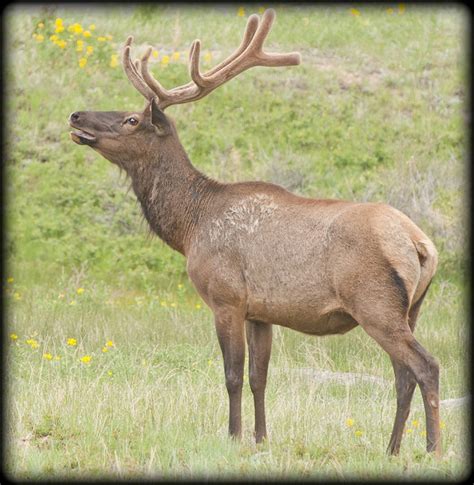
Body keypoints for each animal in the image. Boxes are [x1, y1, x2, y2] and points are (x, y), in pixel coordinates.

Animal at [67, 10, 440, 458]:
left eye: (131, 119)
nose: (75, 116)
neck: (190, 227)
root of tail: (422, 245)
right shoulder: (261, 311)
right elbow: (259, 377)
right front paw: (262, 439)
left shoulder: (226, 297)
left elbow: (231, 374)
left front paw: (232, 437)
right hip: (410, 309)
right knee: (403, 375)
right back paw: (392, 449)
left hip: (375, 303)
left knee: (426, 366)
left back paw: (433, 448)